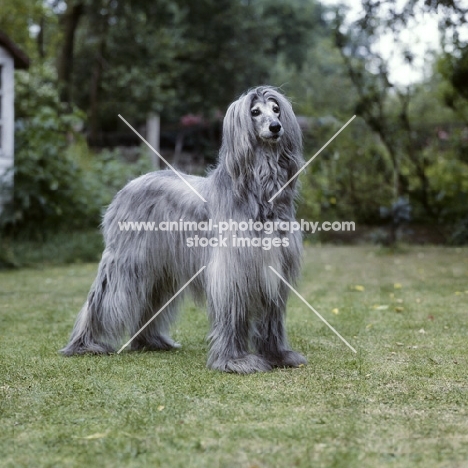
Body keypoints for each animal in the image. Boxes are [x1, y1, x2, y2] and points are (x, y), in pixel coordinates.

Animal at [59, 87, 308, 372]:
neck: (258, 193)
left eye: (276, 109)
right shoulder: (231, 269)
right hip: (127, 262)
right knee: (101, 300)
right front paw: (234, 360)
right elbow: (234, 315)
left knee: (150, 300)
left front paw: (278, 355)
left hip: (157, 269)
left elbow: (271, 318)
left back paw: (150, 341)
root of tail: (129, 185)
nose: (276, 127)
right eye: (255, 112)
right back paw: (84, 345)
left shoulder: (275, 269)